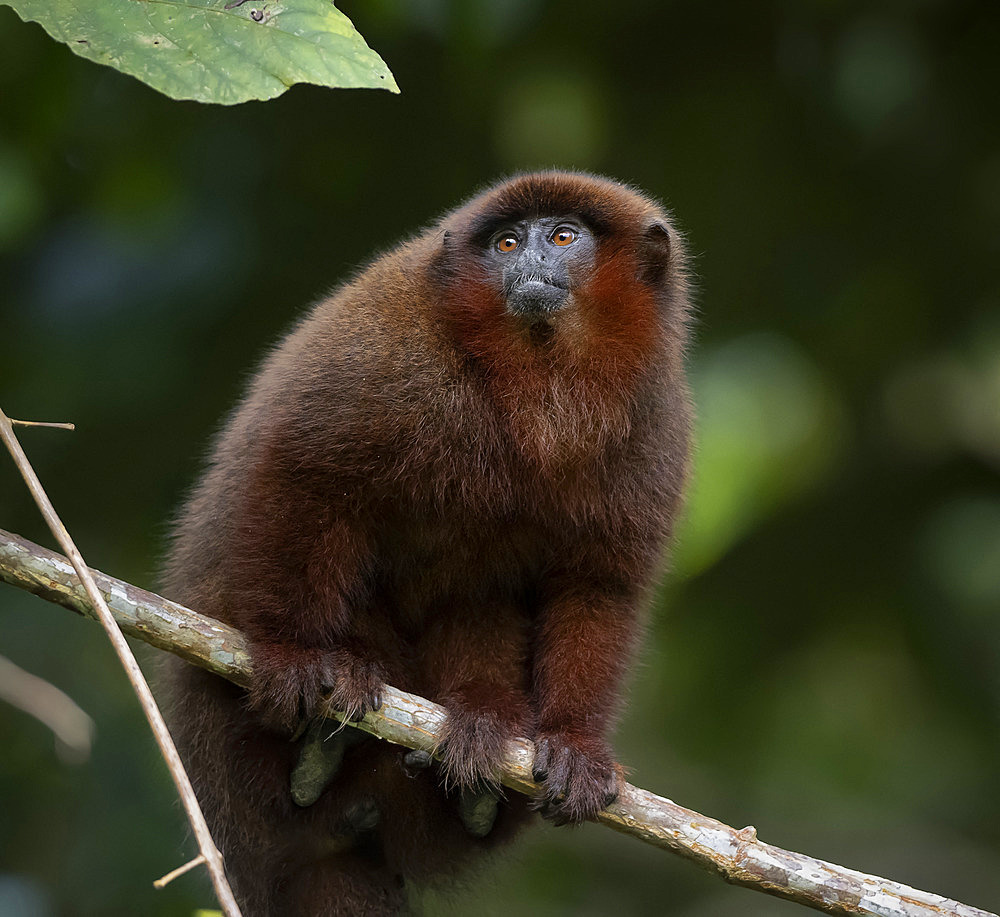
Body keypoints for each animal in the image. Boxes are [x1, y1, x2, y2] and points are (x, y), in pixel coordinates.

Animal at [162, 170, 696, 908]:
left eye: (563, 236)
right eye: (506, 243)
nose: (529, 260)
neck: (540, 380)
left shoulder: (654, 420)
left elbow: (597, 582)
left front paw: (573, 743)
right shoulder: (392, 352)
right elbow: (301, 464)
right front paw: (291, 653)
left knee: (481, 598)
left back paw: (476, 756)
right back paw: (320, 738)